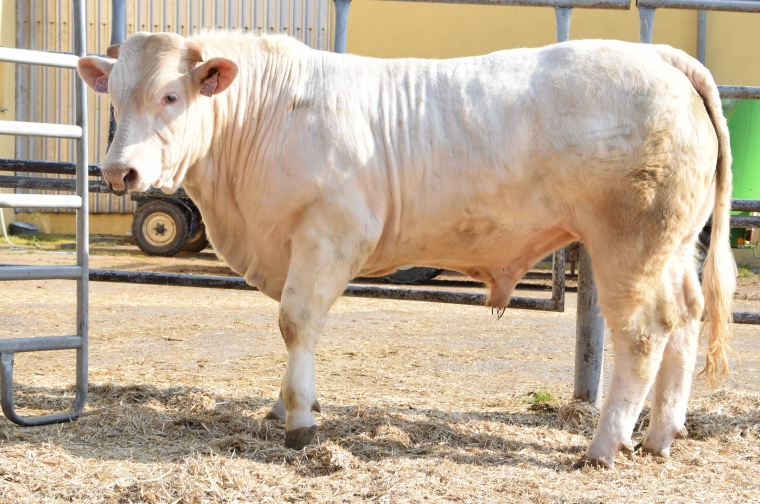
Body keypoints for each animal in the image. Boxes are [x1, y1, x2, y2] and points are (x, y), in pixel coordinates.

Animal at [77, 31, 736, 469]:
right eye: (114, 95)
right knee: (684, 319)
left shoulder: (331, 233)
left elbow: (296, 321)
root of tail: (658, 55)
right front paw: (279, 408)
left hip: (629, 243)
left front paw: (300, 421)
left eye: (170, 95)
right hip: (674, 244)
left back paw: (604, 447)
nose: (118, 171)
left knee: (643, 334)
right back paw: (660, 436)